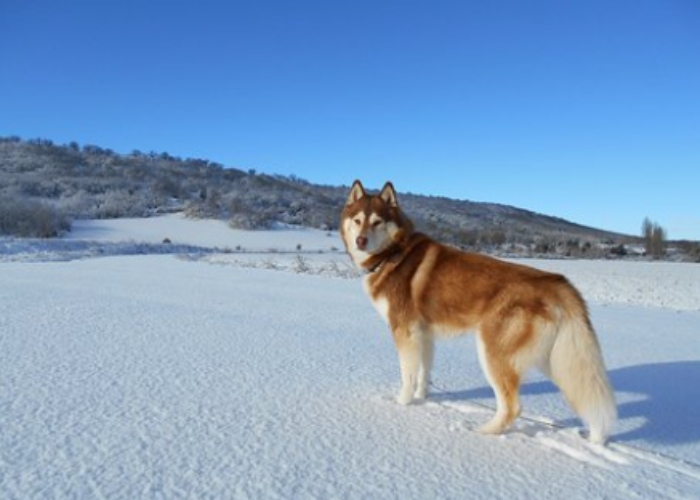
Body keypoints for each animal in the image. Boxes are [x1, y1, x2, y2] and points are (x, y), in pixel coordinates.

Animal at [342, 179, 616, 442]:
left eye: (377, 222)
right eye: (357, 220)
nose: (360, 241)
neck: (393, 253)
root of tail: (556, 282)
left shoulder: (404, 332)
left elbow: (407, 375)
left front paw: (401, 404)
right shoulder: (424, 335)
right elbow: (423, 373)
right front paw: (422, 399)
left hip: (493, 353)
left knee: (512, 406)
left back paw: (484, 433)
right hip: (557, 360)